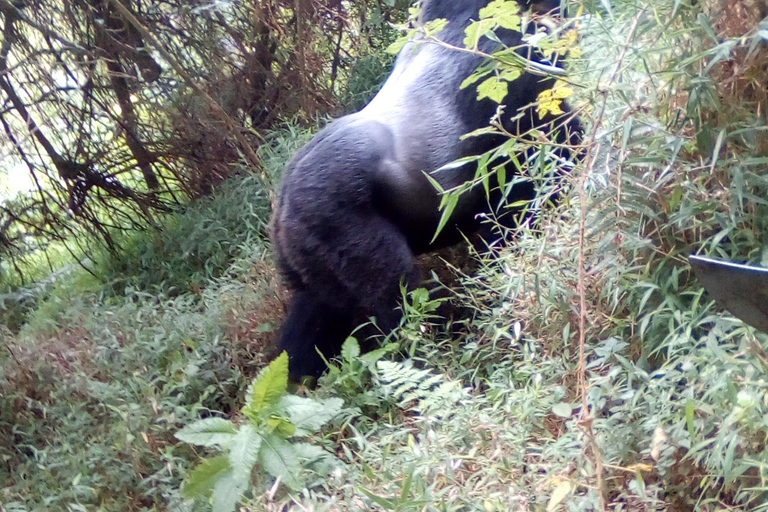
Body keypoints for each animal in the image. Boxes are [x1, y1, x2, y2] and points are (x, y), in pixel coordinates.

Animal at [272, 0, 580, 376]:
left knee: (311, 316)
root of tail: (283, 211)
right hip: (333, 219)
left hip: (301, 256)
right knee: (396, 301)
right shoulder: (515, 74)